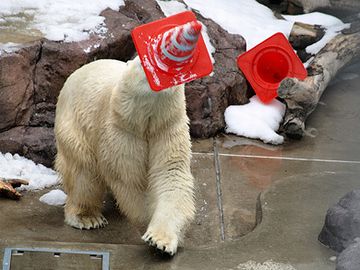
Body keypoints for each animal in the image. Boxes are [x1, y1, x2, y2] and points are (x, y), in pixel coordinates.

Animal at [54, 55, 194, 255]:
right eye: (143, 62)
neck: (146, 120)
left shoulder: (167, 127)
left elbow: (170, 174)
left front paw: (160, 241)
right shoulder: (121, 130)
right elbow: (128, 178)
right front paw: (145, 219)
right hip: (74, 130)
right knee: (84, 174)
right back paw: (87, 217)